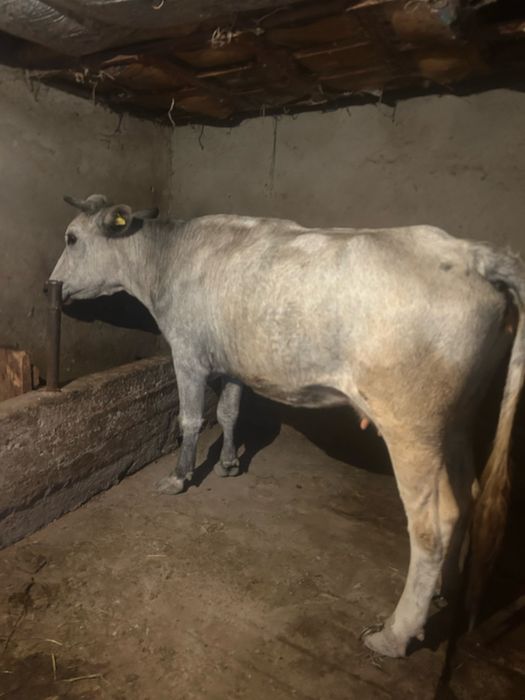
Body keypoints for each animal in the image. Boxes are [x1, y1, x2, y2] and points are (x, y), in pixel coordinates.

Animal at [50, 193, 524, 658]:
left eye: (71, 238)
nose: (48, 285)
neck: (166, 259)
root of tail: (475, 254)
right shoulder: (235, 360)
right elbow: (229, 412)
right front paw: (228, 464)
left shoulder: (187, 353)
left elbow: (191, 418)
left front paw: (179, 477)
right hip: (458, 417)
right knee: (468, 494)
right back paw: (444, 592)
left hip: (411, 423)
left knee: (433, 525)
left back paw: (395, 634)